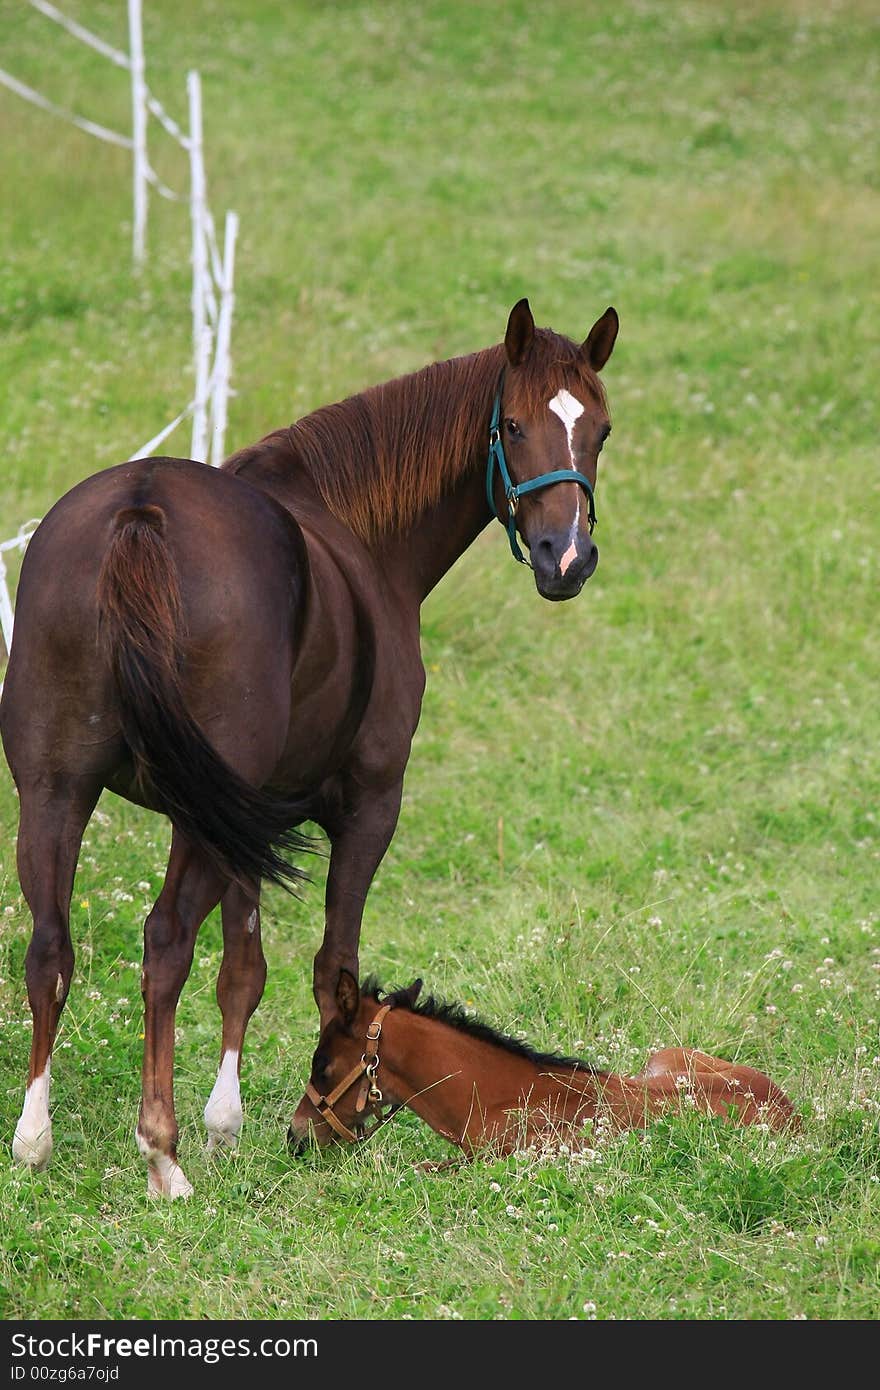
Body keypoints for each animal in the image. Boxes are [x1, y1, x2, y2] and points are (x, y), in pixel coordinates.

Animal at [0, 298, 617, 1189]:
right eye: (513, 424)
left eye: (600, 429)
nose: (565, 558)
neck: (356, 532)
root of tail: (139, 513)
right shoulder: (366, 809)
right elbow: (333, 969)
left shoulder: (244, 823)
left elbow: (243, 970)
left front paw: (226, 1125)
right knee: (163, 944)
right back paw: (161, 1151)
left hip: (56, 792)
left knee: (51, 949)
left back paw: (34, 1139)